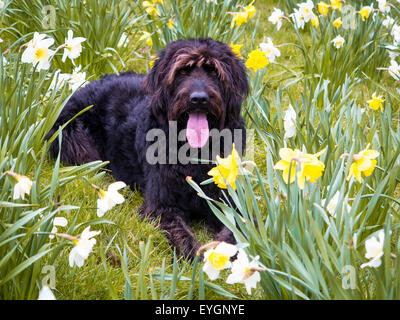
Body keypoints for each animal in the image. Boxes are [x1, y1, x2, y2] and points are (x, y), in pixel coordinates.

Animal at [47, 38, 247, 258]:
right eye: (182, 71)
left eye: (214, 71)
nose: (199, 98)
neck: (195, 153)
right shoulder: (161, 206)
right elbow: (179, 232)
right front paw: (196, 256)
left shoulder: (234, 202)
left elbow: (238, 230)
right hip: (74, 138)